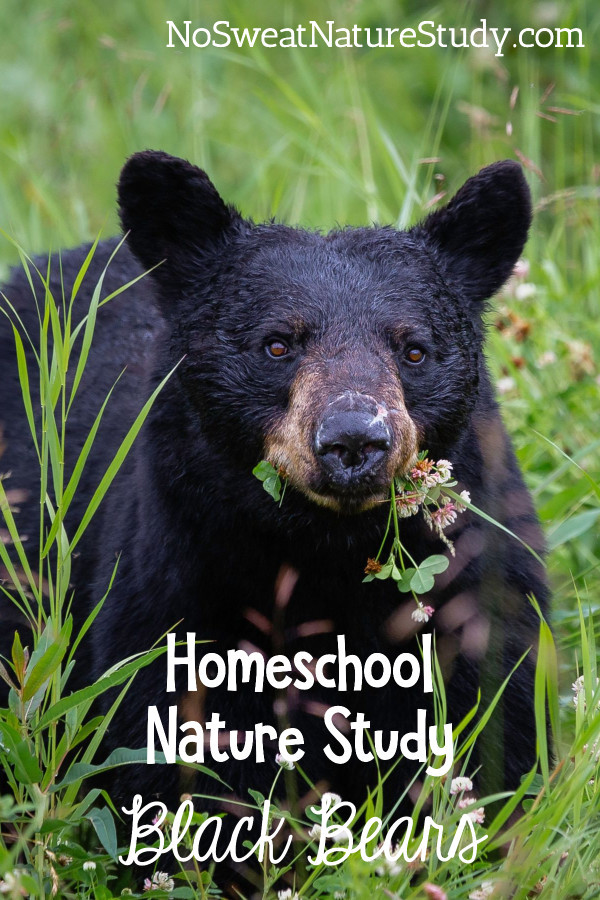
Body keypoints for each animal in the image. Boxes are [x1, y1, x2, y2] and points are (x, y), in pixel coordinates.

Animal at [0, 152, 548, 870]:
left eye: (414, 349)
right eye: (278, 344)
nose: (354, 440)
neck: (327, 554)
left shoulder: (476, 591)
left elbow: (493, 732)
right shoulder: (178, 587)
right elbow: (174, 753)